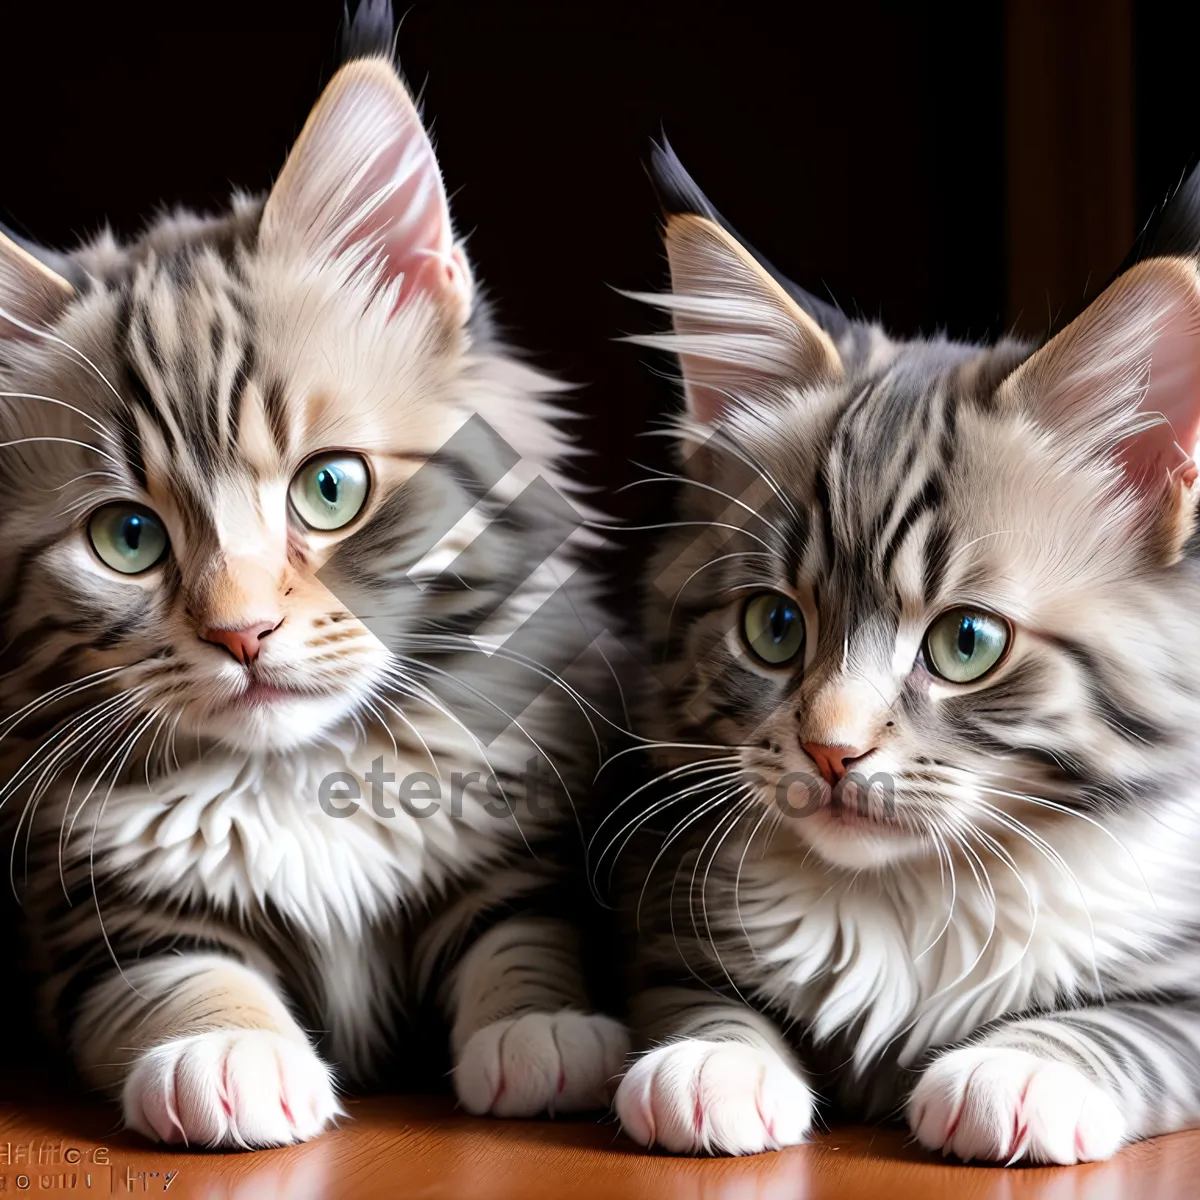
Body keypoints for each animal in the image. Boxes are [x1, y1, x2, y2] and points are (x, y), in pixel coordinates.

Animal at [2, 18, 628, 1142]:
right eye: (128, 537)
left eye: (329, 489)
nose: (241, 632)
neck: (298, 773)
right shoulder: (90, 917)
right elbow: (184, 976)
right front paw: (228, 1054)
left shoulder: (524, 839)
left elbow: (521, 929)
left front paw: (544, 1030)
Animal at [609, 142, 1200, 1161]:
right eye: (775, 628)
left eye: (966, 643)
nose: (831, 751)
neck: (913, 898)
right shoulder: (662, 937)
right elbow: (701, 1002)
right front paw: (713, 1064)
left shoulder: (1188, 986)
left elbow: (1120, 1024)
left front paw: (1019, 1070)